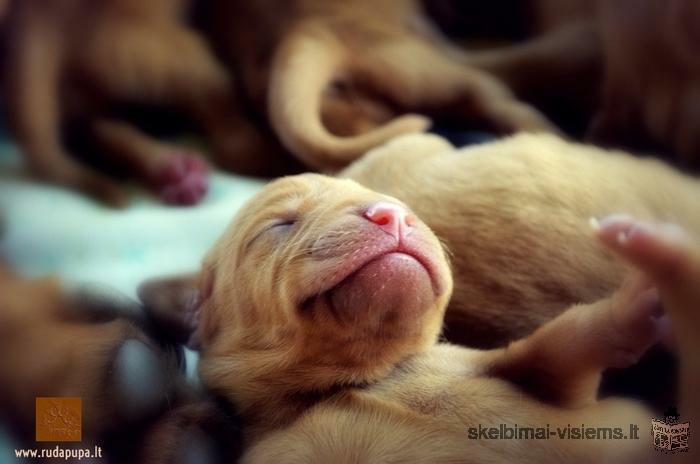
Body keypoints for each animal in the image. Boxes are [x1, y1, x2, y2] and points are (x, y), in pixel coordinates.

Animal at [141, 175, 668, 464]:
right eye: (280, 224)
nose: (392, 215)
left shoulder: (552, 386)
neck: (361, 381)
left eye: (403, 208)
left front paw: (641, 294)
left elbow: (560, 341)